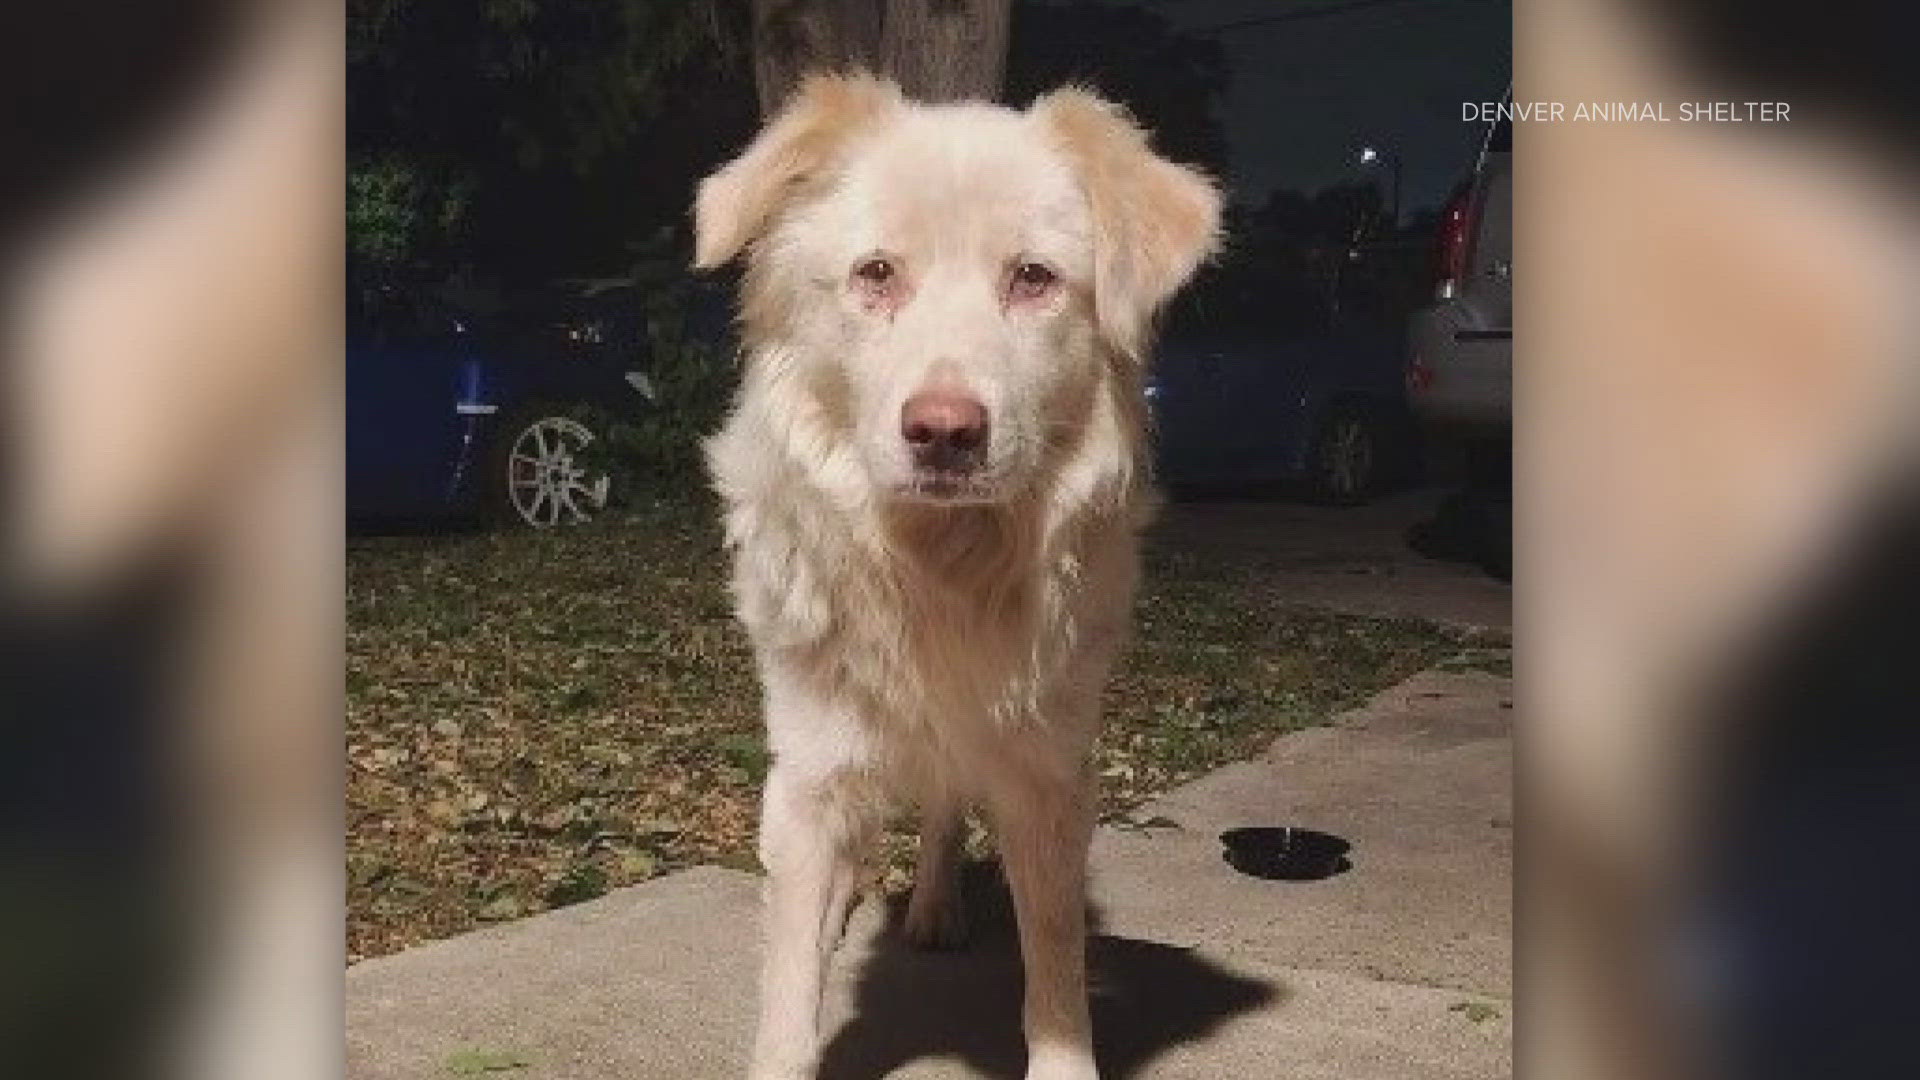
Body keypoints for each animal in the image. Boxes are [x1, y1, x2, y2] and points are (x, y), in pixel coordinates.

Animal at [698, 73, 1221, 1076]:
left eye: (1034, 279)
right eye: (875, 274)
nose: (944, 432)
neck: (940, 566)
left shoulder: (1049, 772)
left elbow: (1054, 961)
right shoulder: (812, 772)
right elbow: (790, 981)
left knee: (943, 807)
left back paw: (936, 907)